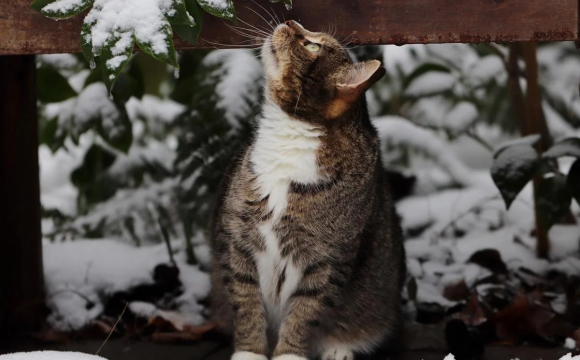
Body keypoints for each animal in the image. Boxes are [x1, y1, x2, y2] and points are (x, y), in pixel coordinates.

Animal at [210, 20, 408, 360]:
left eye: (313, 46)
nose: (291, 22)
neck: (291, 137)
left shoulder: (329, 258)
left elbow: (305, 312)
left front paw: (289, 354)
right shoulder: (237, 240)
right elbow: (245, 303)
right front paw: (249, 352)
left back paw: (338, 349)